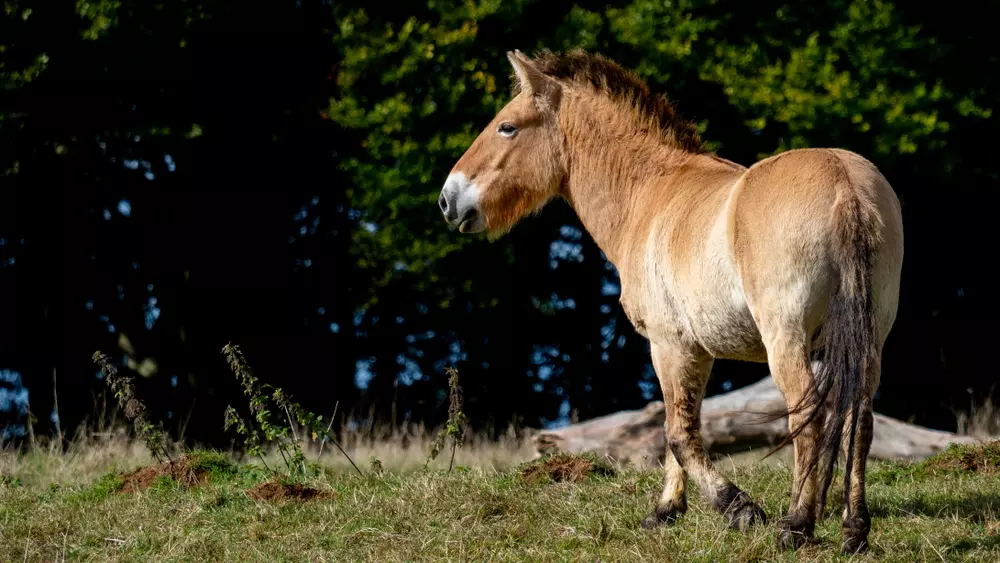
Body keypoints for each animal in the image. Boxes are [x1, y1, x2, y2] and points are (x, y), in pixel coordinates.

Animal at [438, 49, 908, 556]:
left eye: (507, 126)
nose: (447, 199)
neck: (650, 192)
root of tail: (845, 186)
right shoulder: (693, 351)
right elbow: (679, 425)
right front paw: (666, 511)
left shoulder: (670, 345)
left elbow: (678, 432)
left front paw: (738, 509)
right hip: (865, 342)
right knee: (859, 419)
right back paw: (853, 529)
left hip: (786, 341)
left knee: (807, 415)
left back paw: (795, 525)